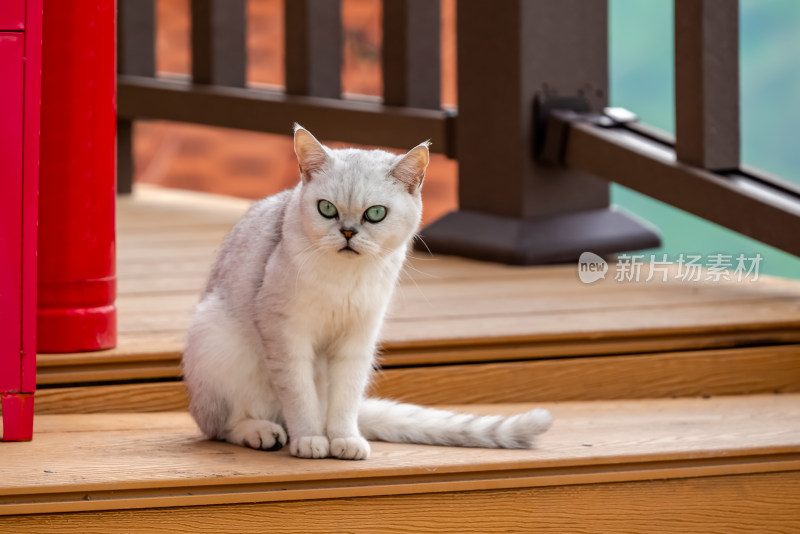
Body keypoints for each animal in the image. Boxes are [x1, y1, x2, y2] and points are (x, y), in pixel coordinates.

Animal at [184, 125, 552, 460]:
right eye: (326, 209)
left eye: (375, 213)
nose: (348, 232)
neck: (344, 279)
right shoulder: (286, 333)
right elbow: (300, 395)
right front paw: (310, 439)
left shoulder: (358, 338)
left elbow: (346, 397)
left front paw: (344, 439)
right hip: (216, 342)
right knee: (223, 424)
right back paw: (262, 431)